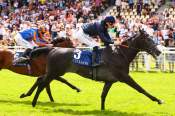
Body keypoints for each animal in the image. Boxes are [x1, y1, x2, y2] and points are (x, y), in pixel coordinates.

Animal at [27, 29, 163, 109]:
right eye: (147, 39)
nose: (159, 51)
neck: (120, 54)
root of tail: (53, 49)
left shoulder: (109, 81)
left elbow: (103, 95)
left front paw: (103, 110)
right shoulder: (124, 77)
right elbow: (140, 89)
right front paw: (158, 100)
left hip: (53, 73)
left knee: (41, 81)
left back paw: (28, 96)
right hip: (53, 72)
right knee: (42, 83)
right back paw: (33, 102)